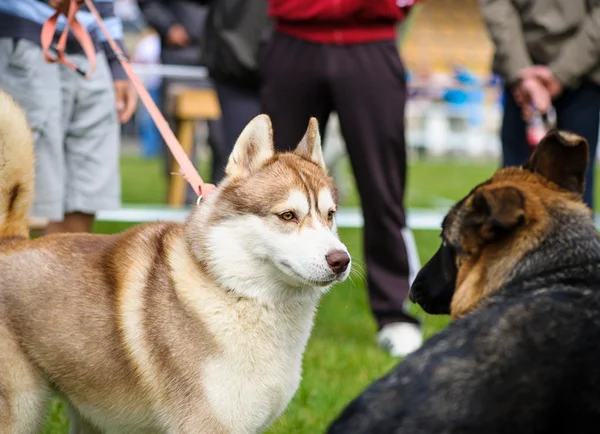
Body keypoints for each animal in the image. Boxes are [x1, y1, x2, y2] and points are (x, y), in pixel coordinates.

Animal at [0, 89, 352, 434]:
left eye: (330, 215)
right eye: (288, 215)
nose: (341, 260)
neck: (235, 293)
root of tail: (11, 242)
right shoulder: (206, 424)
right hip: (22, 411)